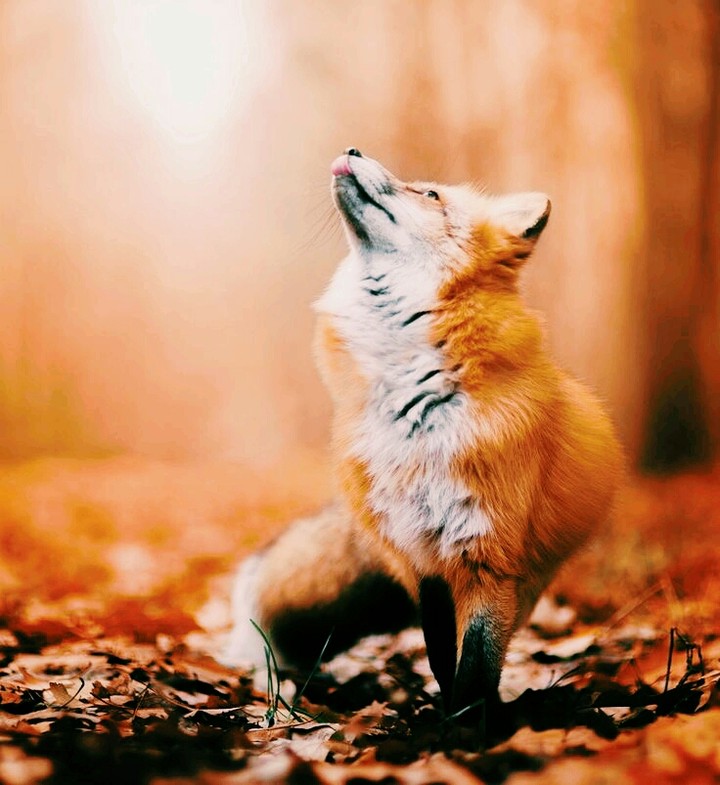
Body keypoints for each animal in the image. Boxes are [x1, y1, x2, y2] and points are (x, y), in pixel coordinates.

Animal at [224, 148, 623, 716]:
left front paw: (466, 726)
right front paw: (445, 717)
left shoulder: (487, 556)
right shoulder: (420, 557)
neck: (414, 410)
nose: (352, 150)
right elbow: (440, 655)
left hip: (525, 582)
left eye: (430, 194)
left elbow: (475, 666)